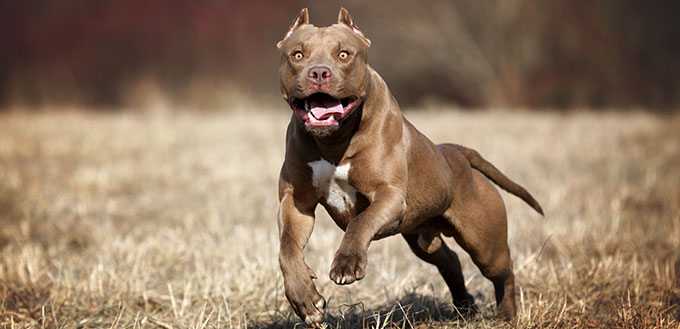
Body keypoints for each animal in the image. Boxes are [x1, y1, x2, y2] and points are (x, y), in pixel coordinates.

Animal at [274, 7, 540, 326]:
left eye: (344, 54)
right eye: (298, 55)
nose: (318, 72)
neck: (334, 141)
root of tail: (454, 152)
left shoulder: (388, 196)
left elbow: (360, 221)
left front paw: (347, 263)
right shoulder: (296, 202)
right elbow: (287, 248)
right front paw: (305, 299)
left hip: (485, 243)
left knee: (504, 271)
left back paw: (506, 315)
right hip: (423, 239)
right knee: (450, 261)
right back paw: (465, 308)